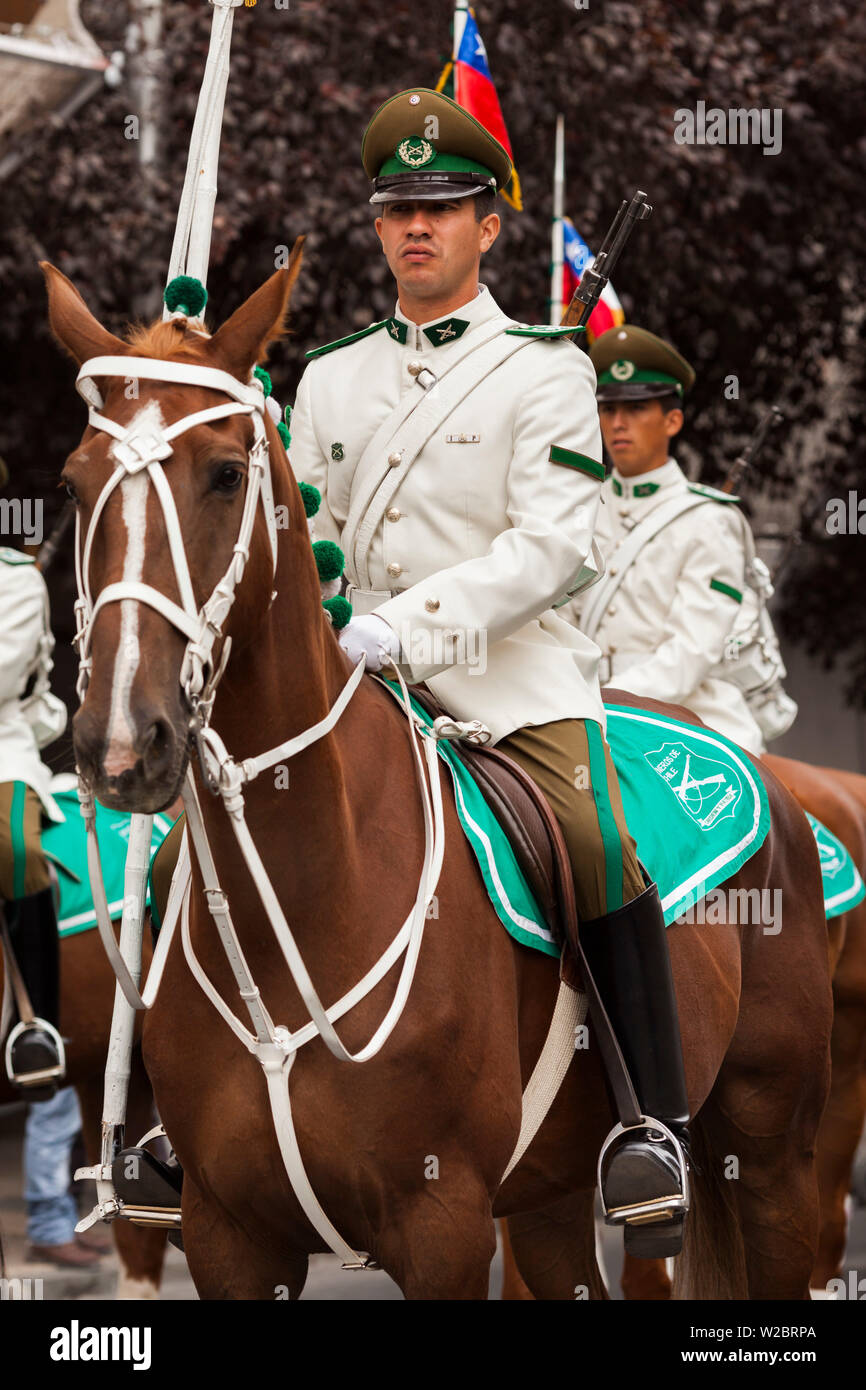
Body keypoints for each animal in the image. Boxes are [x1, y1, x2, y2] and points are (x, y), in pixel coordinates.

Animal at [44, 258, 839, 1301]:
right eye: (74, 483)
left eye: (224, 474)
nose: (122, 743)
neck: (310, 891)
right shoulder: (228, 1236)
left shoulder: (443, 1226)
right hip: (547, 1201)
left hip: (771, 1155)